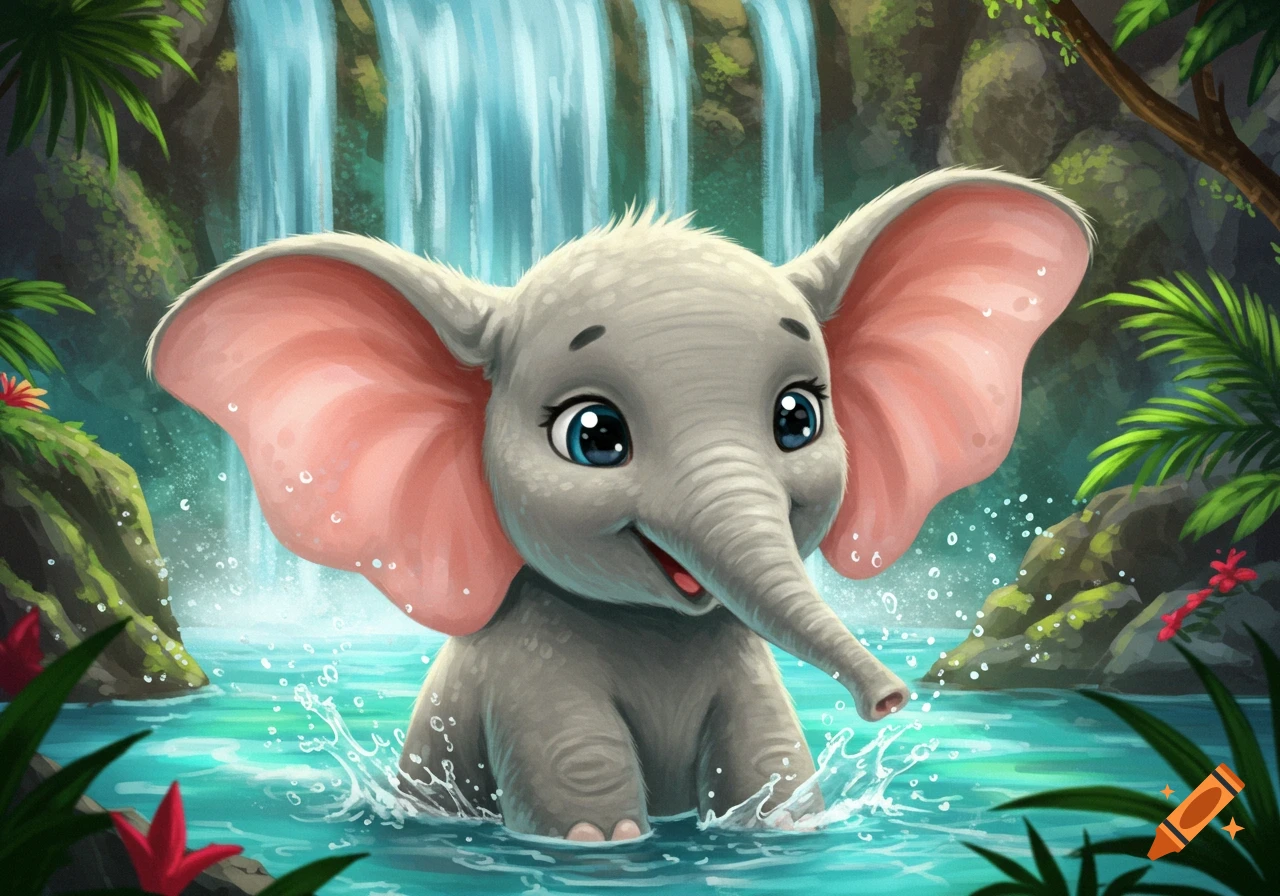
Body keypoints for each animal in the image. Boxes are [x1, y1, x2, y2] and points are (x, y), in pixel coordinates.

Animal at [149, 168, 1091, 841]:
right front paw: (602, 844)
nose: (892, 698)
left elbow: (769, 757)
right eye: (594, 436)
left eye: (799, 418)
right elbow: (578, 769)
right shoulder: (526, 668)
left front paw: (783, 831)